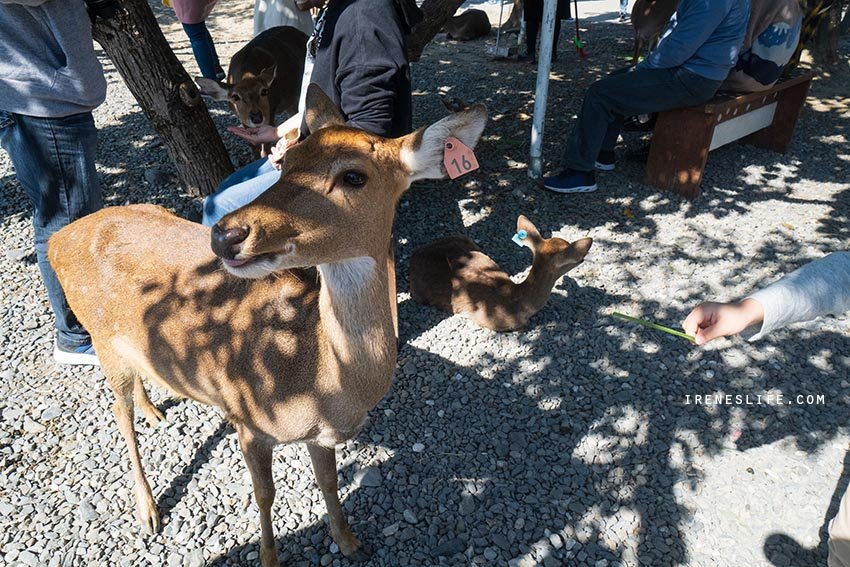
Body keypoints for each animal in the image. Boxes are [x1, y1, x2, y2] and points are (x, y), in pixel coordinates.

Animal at [49, 84, 486, 567]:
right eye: (286, 161)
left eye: (354, 176)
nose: (225, 235)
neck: (319, 385)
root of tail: (57, 238)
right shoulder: (250, 424)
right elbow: (265, 494)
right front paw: (268, 556)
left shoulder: (321, 437)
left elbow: (329, 482)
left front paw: (349, 541)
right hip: (100, 335)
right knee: (118, 414)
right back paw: (148, 510)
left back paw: (154, 410)